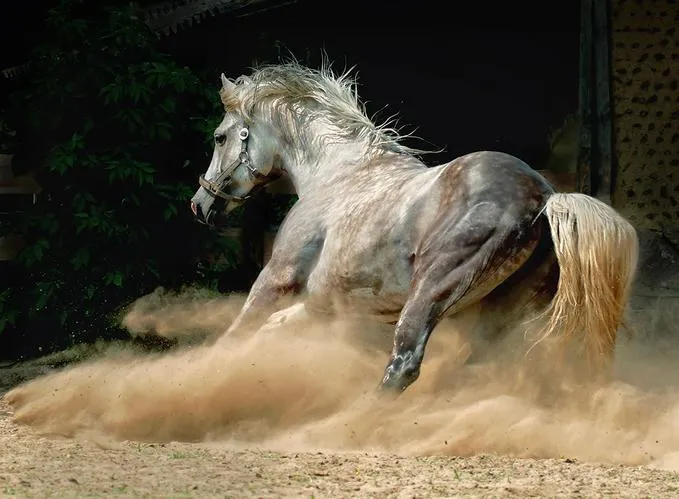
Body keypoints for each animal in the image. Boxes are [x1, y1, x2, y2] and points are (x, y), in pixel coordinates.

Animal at [189, 62, 640, 394]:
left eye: (219, 137)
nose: (200, 204)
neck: (336, 175)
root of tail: (544, 199)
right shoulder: (325, 306)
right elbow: (271, 329)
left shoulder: (278, 278)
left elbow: (238, 332)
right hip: (494, 313)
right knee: (471, 366)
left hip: (432, 290)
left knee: (403, 365)